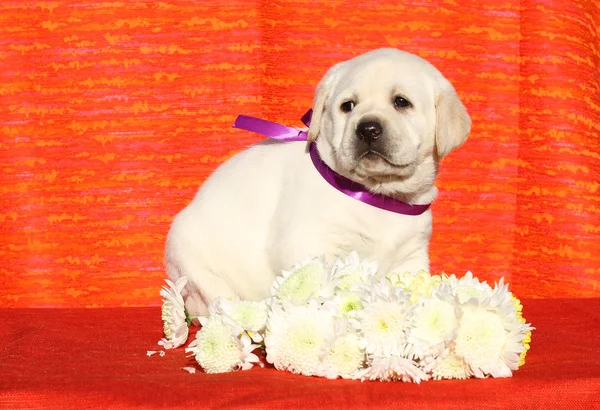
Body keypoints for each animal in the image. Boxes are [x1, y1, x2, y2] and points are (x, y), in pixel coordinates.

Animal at [164, 48, 468, 318]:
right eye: (348, 106)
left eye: (401, 102)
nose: (367, 129)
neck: (376, 195)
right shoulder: (308, 244)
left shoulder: (412, 258)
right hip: (192, 259)